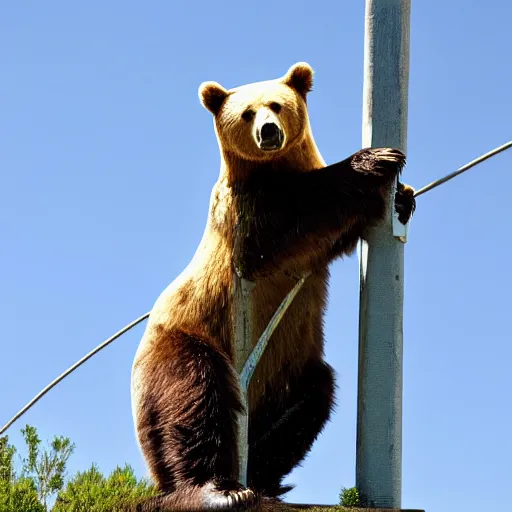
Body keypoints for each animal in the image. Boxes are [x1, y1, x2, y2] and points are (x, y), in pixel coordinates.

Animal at [129, 62, 416, 510]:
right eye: (247, 112)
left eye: (277, 105)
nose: (268, 132)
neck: (277, 169)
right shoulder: (244, 218)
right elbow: (288, 221)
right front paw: (376, 159)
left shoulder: (312, 244)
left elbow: (334, 234)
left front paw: (402, 197)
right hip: (186, 338)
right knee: (193, 396)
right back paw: (216, 489)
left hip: (287, 368)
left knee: (311, 398)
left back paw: (262, 477)